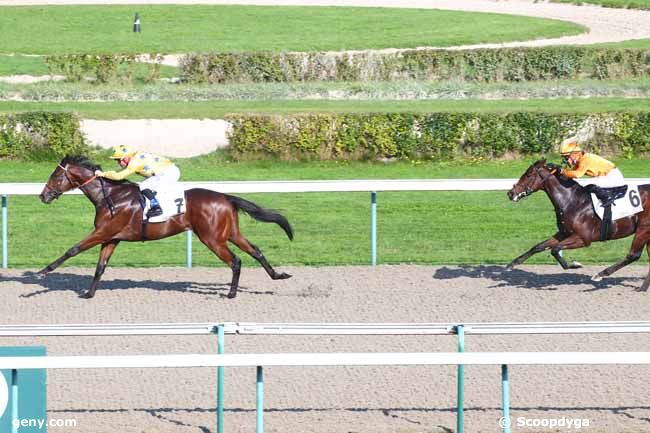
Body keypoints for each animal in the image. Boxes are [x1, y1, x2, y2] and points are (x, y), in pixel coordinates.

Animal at [39, 155, 292, 296]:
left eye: (55, 176)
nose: (43, 196)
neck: (110, 196)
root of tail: (226, 197)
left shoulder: (102, 232)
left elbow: (73, 249)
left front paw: (43, 272)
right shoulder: (112, 237)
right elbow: (100, 267)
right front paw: (89, 294)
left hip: (211, 238)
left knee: (236, 261)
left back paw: (231, 293)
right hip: (230, 233)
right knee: (255, 251)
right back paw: (278, 275)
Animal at [504, 159, 648, 290]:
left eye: (528, 175)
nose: (511, 193)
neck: (572, 201)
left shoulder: (583, 239)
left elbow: (555, 249)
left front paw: (575, 265)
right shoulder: (564, 233)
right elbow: (538, 247)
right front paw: (511, 265)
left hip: (643, 228)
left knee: (633, 255)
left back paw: (600, 274)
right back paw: (642, 288)